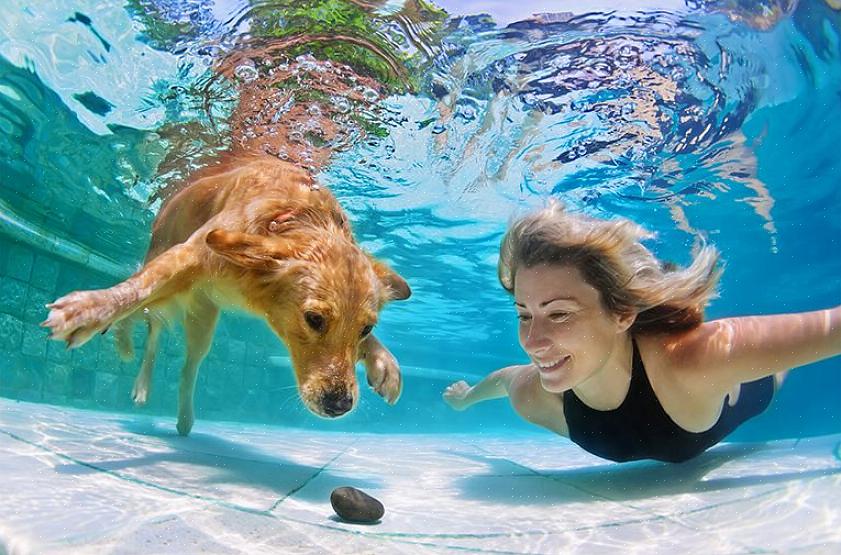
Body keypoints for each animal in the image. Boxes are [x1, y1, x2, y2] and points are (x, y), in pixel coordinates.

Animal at [42, 155, 410, 434]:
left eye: (366, 328)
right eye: (314, 319)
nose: (340, 405)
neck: (293, 216)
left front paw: (384, 363)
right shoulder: (188, 253)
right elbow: (134, 291)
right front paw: (92, 308)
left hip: (203, 319)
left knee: (186, 365)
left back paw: (184, 418)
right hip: (163, 269)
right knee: (149, 321)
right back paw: (133, 365)